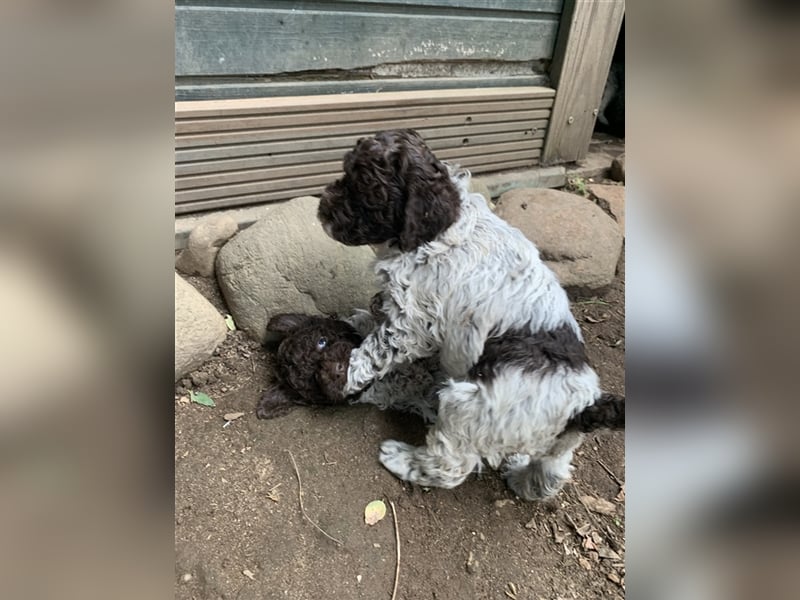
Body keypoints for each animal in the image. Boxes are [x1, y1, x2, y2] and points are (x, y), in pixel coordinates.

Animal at [318, 131, 624, 502]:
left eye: (366, 187)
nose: (322, 209)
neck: (440, 228)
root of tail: (584, 409)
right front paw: (362, 322)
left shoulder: (414, 320)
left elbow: (379, 347)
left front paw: (346, 371)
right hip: (556, 447)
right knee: (548, 477)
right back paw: (520, 473)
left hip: (465, 408)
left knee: (450, 467)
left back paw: (403, 460)